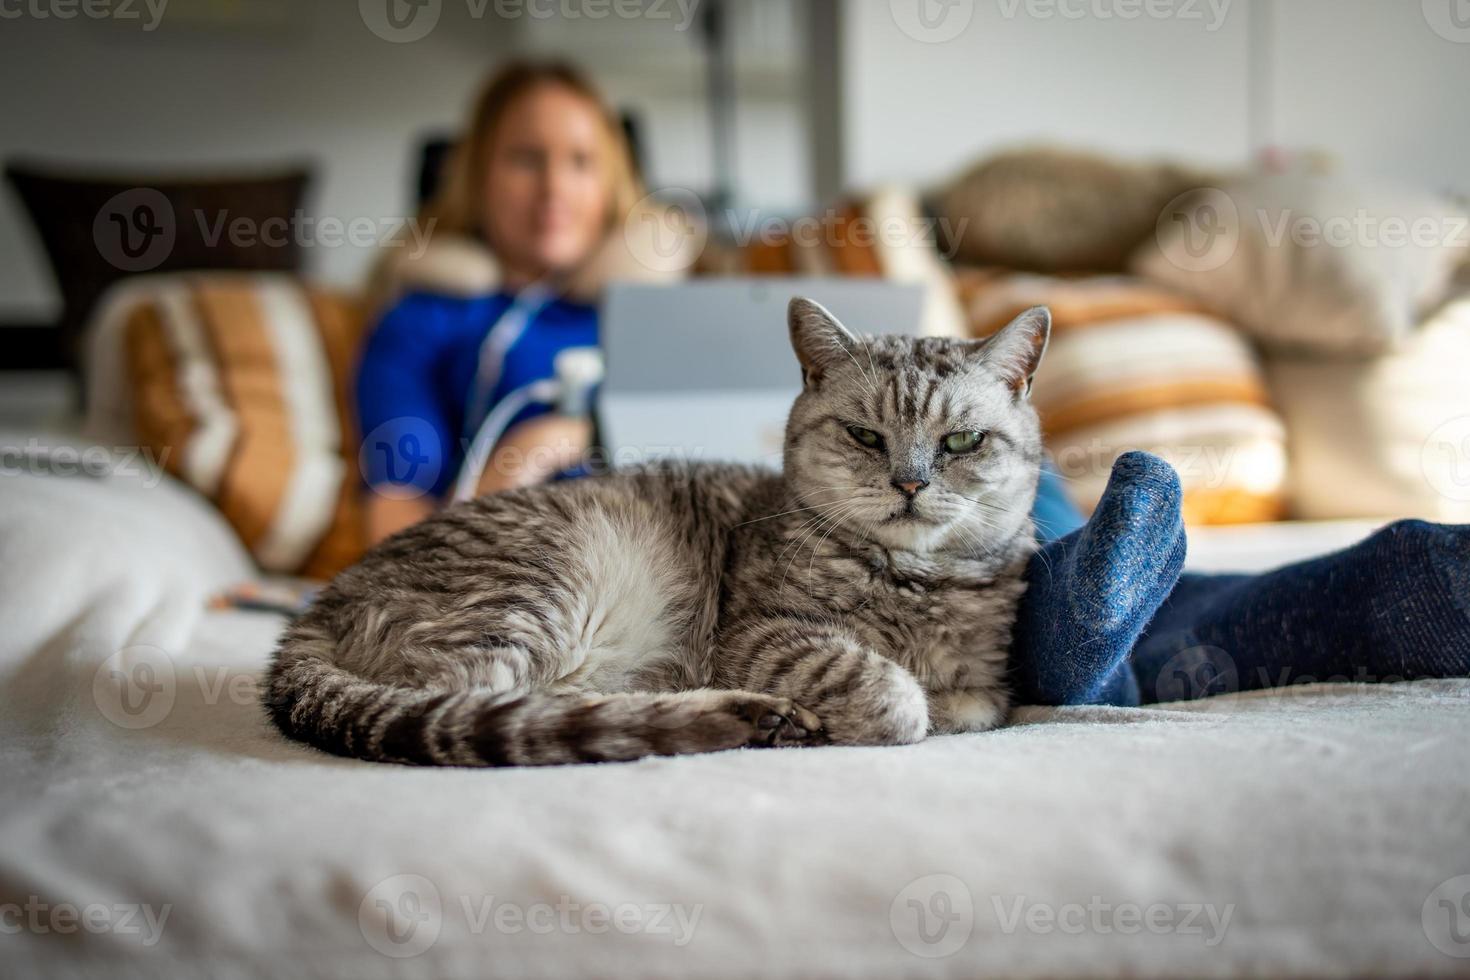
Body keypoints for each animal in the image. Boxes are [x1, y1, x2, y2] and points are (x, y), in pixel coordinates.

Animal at [261, 299, 1046, 764]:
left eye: (962, 442)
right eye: (864, 436)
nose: (910, 484)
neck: (918, 584)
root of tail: (318, 608)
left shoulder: (987, 681)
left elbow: (975, 700)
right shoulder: (761, 636)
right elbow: (892, 693)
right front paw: (890, 704)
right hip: (541, 590)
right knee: (500, 707)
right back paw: (755, 718)